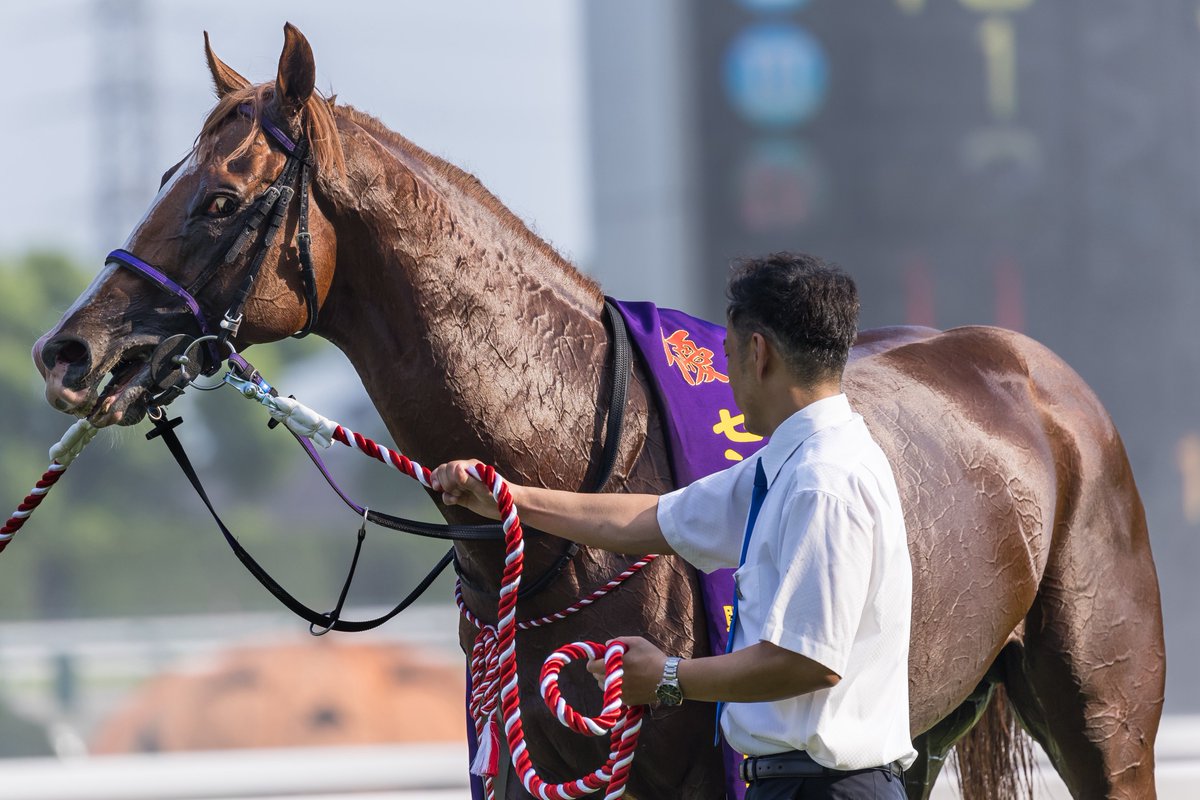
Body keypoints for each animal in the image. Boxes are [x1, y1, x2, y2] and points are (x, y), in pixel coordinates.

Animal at [31, 24, 1164, 800]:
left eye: (221, 199)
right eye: (166, 178)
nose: (67, 352)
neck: (580, 449)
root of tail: (1033, 373)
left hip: (1108, 724)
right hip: (912, 730)